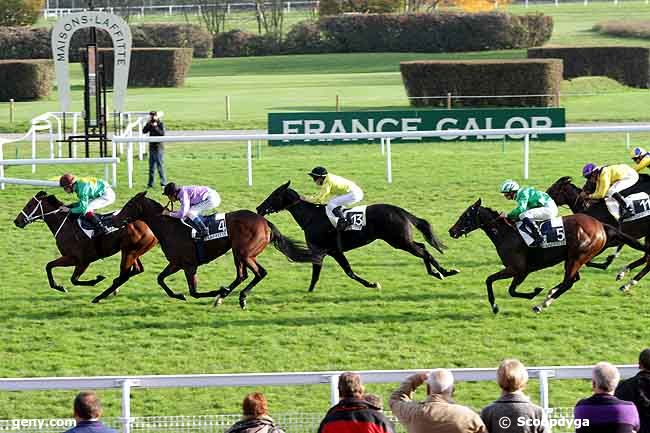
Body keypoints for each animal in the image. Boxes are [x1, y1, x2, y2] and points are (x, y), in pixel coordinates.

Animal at [13, 191, 157, 302]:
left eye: (30, 205)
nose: (17, 221)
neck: (67, 226)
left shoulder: (80, 260)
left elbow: (72, 279)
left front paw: (96, 279)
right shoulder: (72, 259)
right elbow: (49, 266)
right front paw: (59, 287)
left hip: (129, 252)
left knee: (125, 275)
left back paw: (100, 296)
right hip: (131, 251)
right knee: (136, 270)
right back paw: (113, 289)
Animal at [112, 192, 312, 308]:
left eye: (129, 205)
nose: (114, 219)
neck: (169, 228)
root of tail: (264, 222)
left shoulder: (189, 265)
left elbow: (193, 292)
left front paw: (216, 291)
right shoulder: (176, 263)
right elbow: (160, 279)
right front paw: (178, 295)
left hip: (243, 252)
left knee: (258, 273)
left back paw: (237, 297)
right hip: (241, 253)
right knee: (243, 275)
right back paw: (224, 296)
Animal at [253, 179, 456, 290]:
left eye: (274, 195)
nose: (259, 208)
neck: (311, 217)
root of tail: (401, 211)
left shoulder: (327, 251)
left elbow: (343, 272)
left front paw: (372, 284)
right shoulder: (329, 252)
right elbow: (331, 272)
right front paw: (309, 292)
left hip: (399, 241)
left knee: (424, 252)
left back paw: (445, 271)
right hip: (402, 240)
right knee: (422, 248)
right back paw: (437, 272)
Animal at [448, 197, 644, 312]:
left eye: (465, 216)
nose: (452, 231)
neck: (506, 233)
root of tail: (600, 225)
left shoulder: (519, 269)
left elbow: (502, 285)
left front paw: (501, 304)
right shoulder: (518, 270)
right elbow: (499, 284)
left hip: (576, 257)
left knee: (568, 282)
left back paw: (542, 304)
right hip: (574, 258)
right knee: (572, 280)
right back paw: (550, 294)